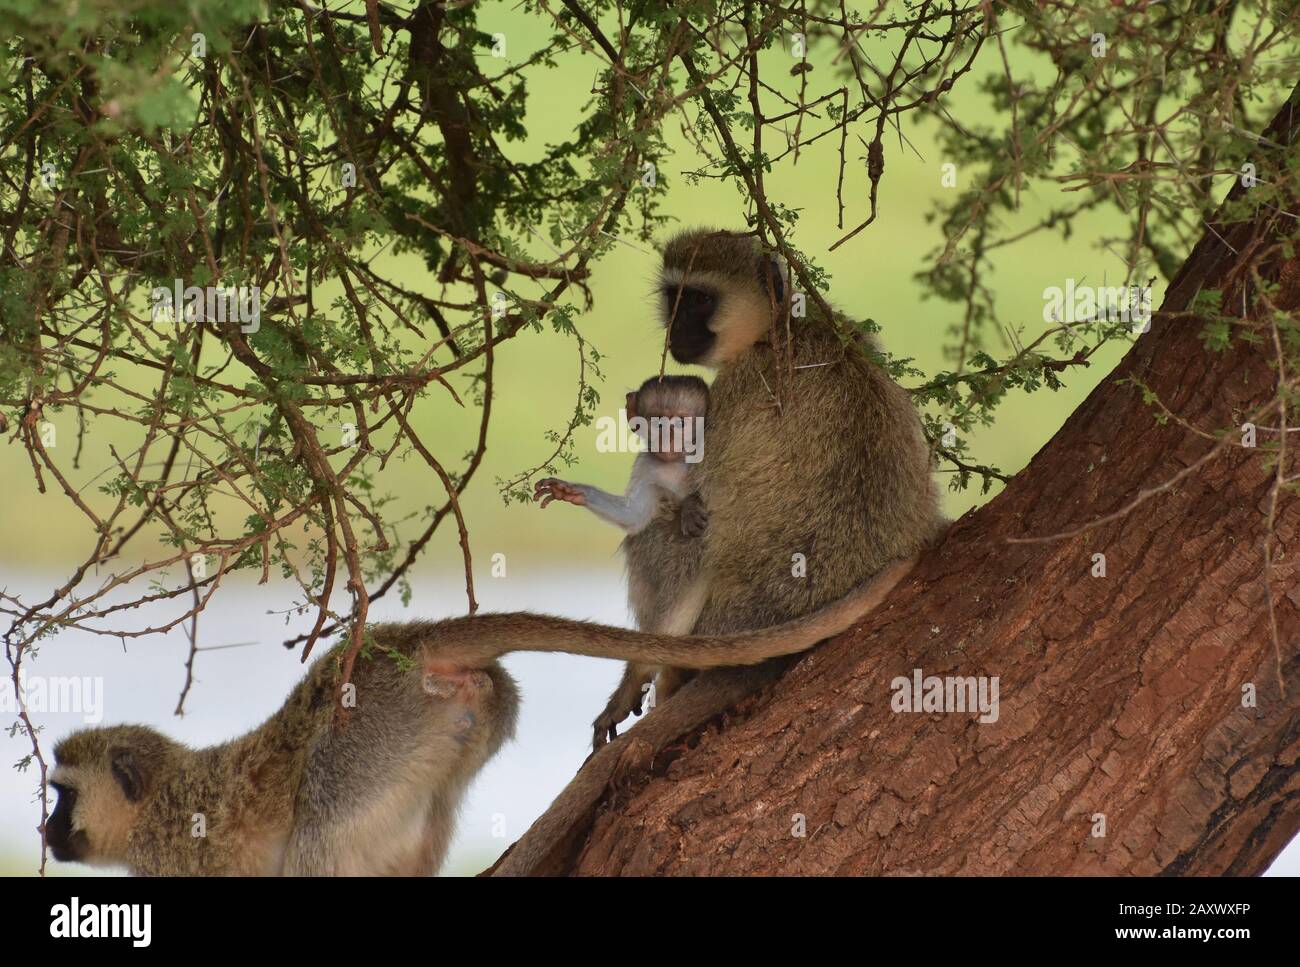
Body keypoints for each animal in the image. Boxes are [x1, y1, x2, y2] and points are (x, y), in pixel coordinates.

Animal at [530, 374, 712, 535]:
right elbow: (633, 515)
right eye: (657, 422)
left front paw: (690, 506)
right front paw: (569, 491)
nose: (667, 439)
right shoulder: (645, 463)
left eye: (680, 423)